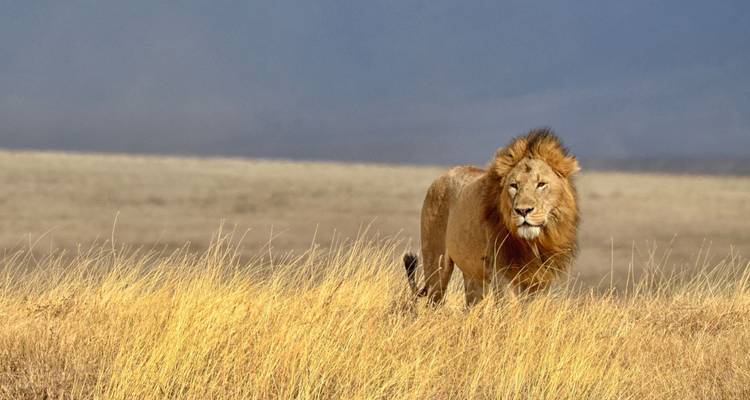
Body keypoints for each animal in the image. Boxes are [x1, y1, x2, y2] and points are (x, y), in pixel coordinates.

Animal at [404, 128, 580, 306]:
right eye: (514, 185)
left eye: (541, 184)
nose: (523, 211)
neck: (532, 242)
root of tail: (441, 176)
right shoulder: (502, 273)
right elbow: (510, 307)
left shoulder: (540, 278)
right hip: (436, 264)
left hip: (472, 274)